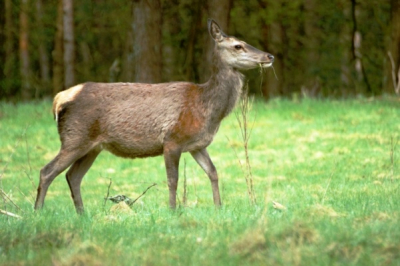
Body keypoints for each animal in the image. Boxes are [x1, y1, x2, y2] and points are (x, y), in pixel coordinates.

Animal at [34, 18, 276, 213]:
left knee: (72, 176)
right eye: (238, 45)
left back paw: (82, 214)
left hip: (92, 146)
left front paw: (218, 207)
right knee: (47, 171)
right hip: (74, 137)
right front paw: (172, 210)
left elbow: (213, 172)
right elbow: (173, 180)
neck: (206, 108)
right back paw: (38, 211)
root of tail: (59, 99)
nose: (269, 56)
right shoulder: (172, 140)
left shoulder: (197, 145)